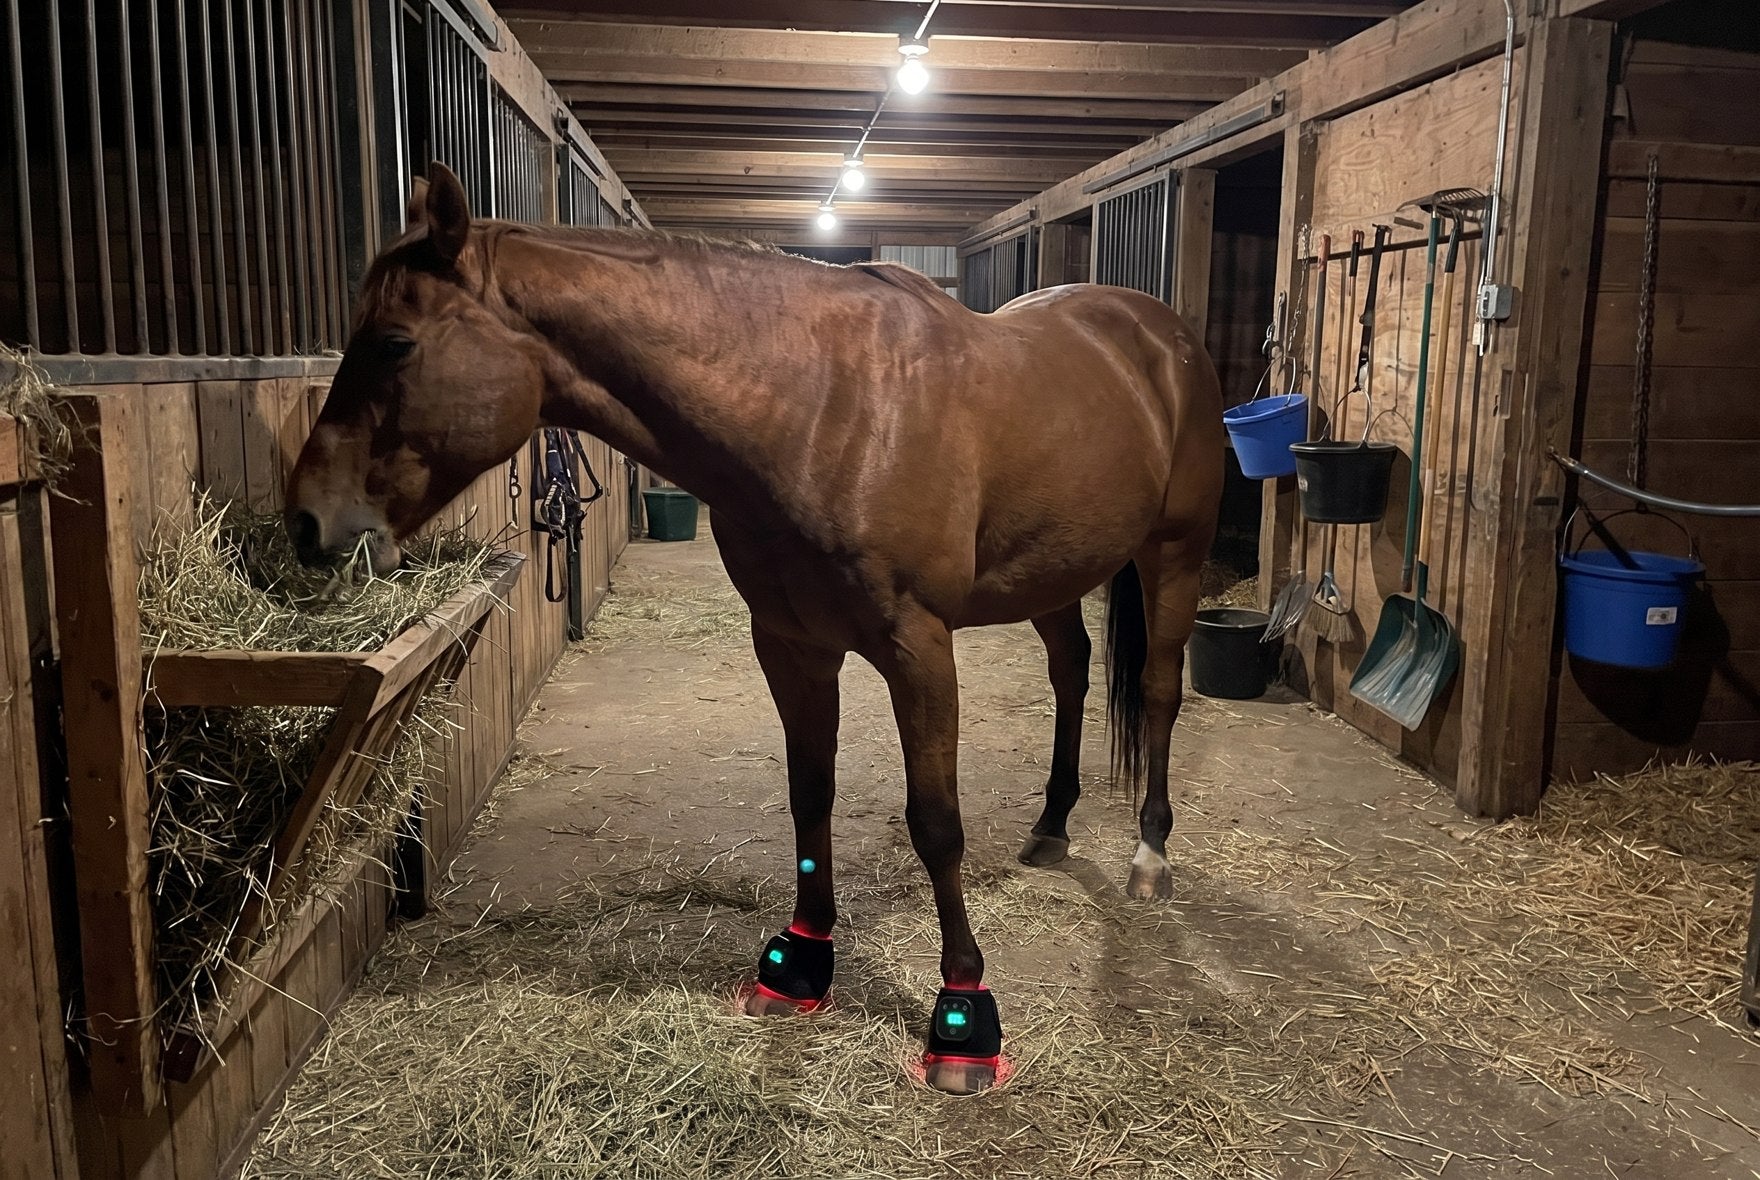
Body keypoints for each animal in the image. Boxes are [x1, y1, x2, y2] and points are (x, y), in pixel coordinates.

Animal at [286, 162, 1225, 1094]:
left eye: (394, 343)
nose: (305, 522)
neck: (822, 408)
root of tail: (1161, 334)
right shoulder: (790, 643)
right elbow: (810, 794)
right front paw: (800, 966)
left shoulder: (918, 647)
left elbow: (936, 822)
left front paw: (963, 1018)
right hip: (1054, 573)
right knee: (1073, 669)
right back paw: (1053, 824)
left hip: (1173, 554)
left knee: (1158, 689)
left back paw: (1149, 854)